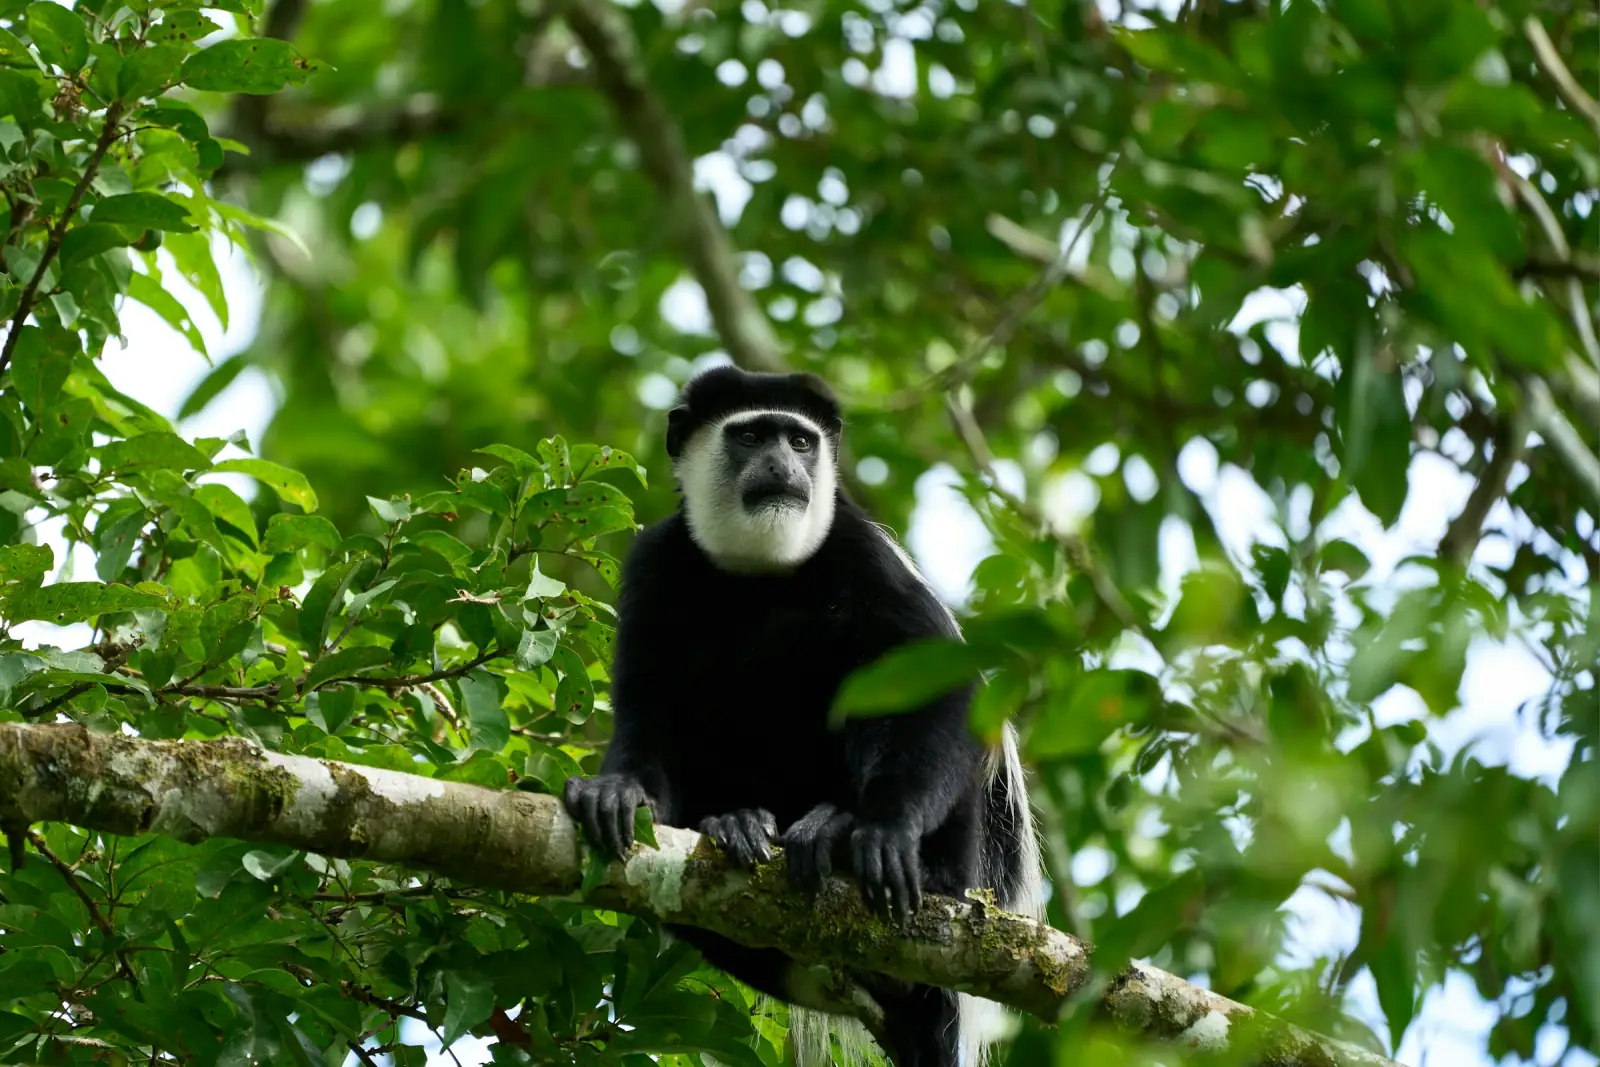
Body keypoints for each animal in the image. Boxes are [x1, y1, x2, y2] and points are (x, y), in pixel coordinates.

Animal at [563, 364, 1044, 1067]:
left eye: (799, 440)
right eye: (751, 435)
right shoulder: (658, 563)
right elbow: (647, 711)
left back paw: (847, 837)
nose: (781, 466)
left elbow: (933, 693)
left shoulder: (860, 550)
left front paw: (885, 832)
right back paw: (740, 824)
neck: (760, 571)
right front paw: (617, 793)